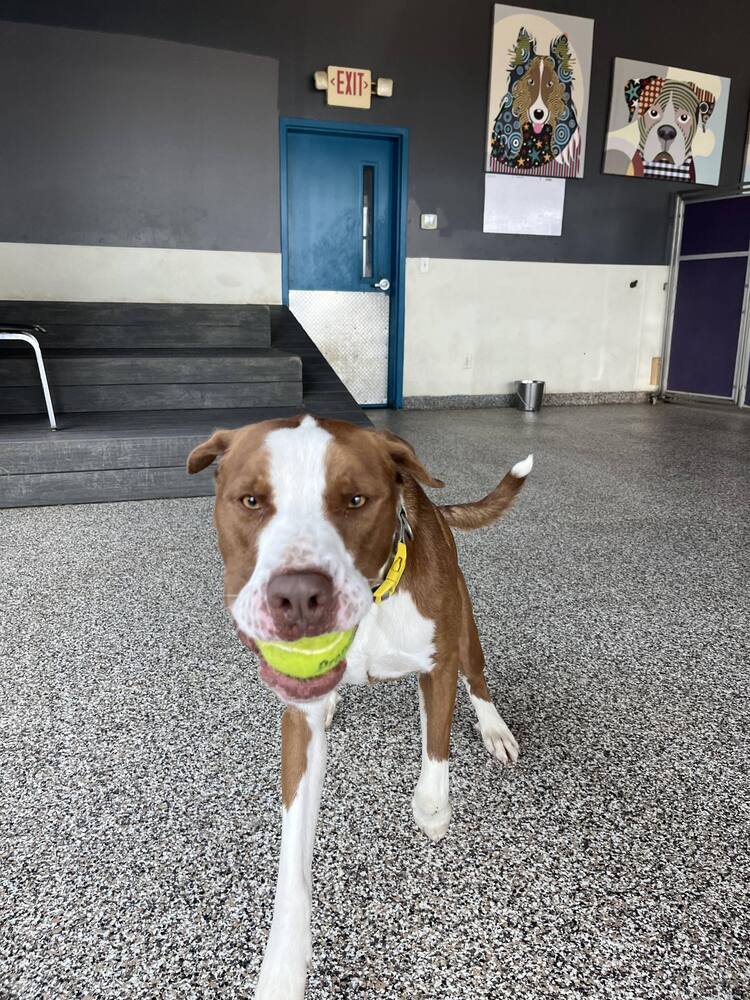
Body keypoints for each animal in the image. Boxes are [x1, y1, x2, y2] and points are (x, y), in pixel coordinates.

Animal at [188, 416, 532, 1000]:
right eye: (251, 500)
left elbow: (435, 753)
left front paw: (431, 812)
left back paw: (493, 728)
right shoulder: (297, 725)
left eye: (355, 500)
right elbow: (293, 854)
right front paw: (283, 965)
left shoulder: (437, 666)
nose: (298, 597)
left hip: (467, 630)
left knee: (478, 679)